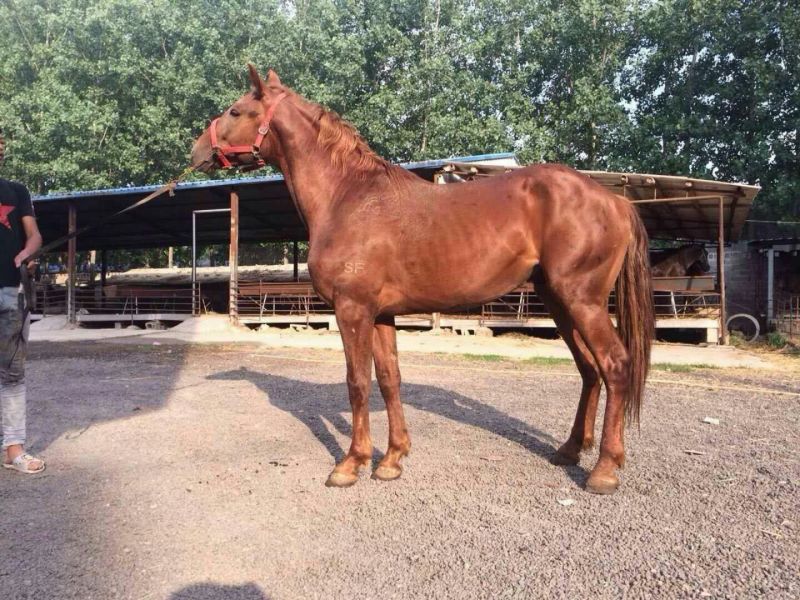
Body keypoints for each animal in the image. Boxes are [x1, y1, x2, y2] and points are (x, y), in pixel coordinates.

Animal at [190, 66, 654, 494]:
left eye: (236, 110)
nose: (197, 150)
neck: (348, 197)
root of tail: (614, 200)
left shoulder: (352, 310)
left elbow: (357, 383)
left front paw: (350, 464)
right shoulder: (380, 315)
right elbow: (389, 379)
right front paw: (392, 459)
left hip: (581, 300)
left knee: (614, 365)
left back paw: (604, 469)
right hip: (559, 302)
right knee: (589, 370)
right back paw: (571, 449)